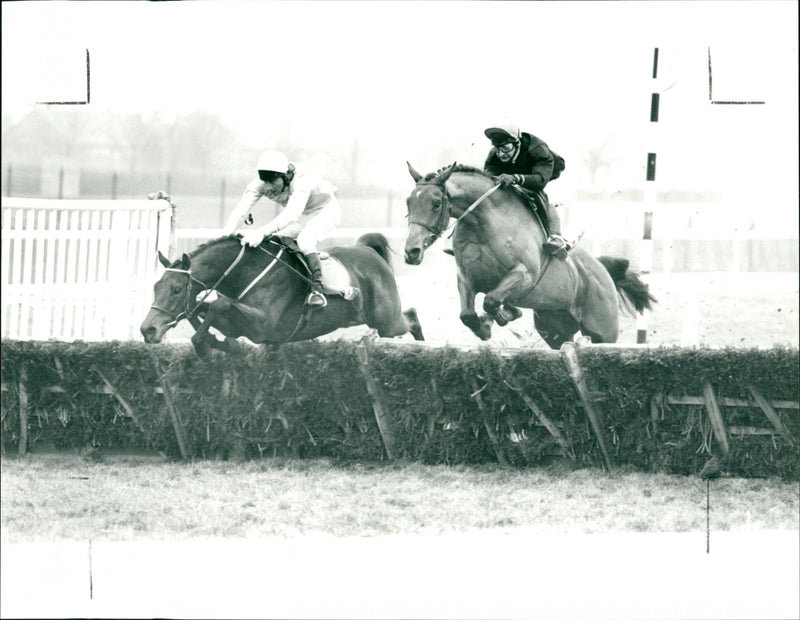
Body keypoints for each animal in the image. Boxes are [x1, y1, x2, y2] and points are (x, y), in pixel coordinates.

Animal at [141, 231, 424, 358]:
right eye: (155, 286)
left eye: (176, 289)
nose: (147, 330)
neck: (245, 272)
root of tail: (370, 251)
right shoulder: (239, 325)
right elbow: (201, 310)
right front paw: (217, 343)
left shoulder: (263, 326)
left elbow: (216, 306)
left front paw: (206, 346)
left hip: (386, 320)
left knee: (410, 316)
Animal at [404, 162, 652, 348]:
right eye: (409, 201)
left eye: (437, 203)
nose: (411, 252)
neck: (482, 224)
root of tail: (604, 272)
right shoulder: (466, 276)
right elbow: (468, 314)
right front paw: (489, 323)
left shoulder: (524, 275)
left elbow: (492, 301)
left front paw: (500, 318)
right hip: (553, 327)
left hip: (603, 331)